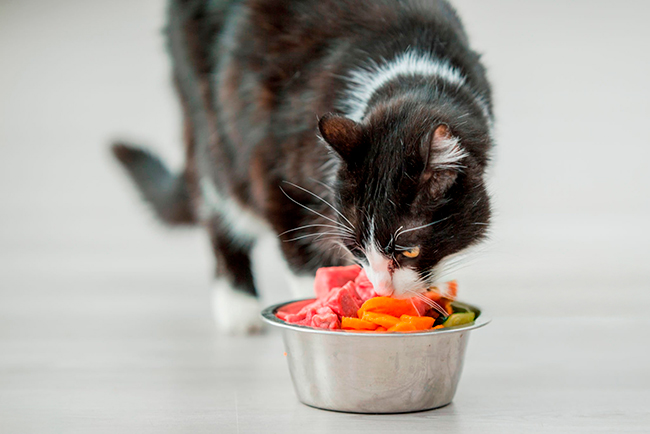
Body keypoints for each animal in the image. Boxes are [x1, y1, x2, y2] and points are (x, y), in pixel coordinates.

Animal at [112, 0, 492, 336]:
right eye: (356, 248)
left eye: (409, 250)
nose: (382, 289)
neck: (413, 74)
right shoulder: (275, 170)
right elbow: (302, 250)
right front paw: (321, 307)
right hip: (210, 110)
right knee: (219, 197)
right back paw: (237, 304)